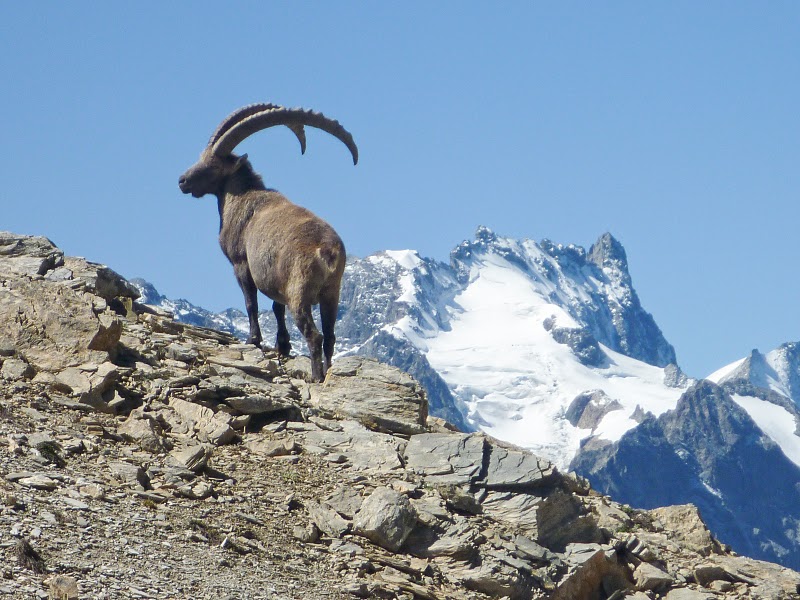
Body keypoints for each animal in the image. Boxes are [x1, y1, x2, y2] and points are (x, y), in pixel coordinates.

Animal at [181, 102, 360, 380]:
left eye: (214, 165)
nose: (183, 181)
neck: (242, 195)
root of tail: (327, 251)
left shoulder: (241, 264)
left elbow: (251, 303)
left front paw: (253, 340)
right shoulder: (276, 278)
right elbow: (277, 308)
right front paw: (282, 345)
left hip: (301, 292)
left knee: (315, 335)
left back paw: (316, 376)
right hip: (332, 293)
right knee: (330, 336)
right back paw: (327, 372)